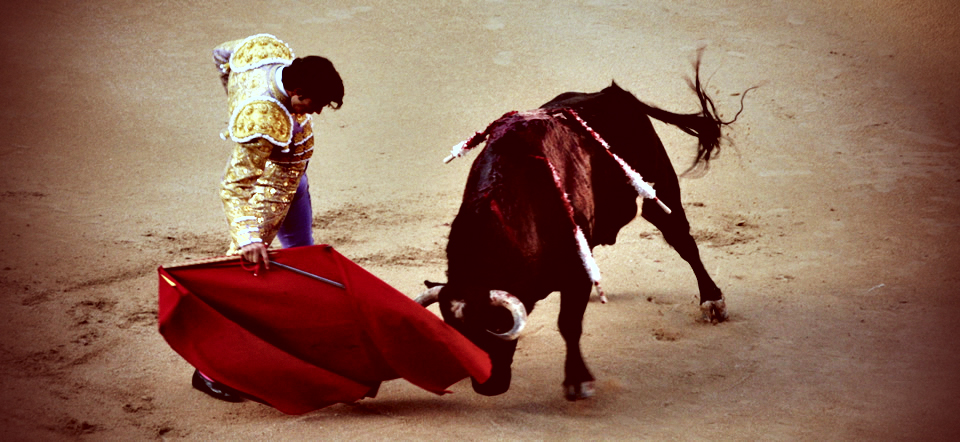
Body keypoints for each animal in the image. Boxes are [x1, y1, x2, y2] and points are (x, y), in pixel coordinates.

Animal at [420, 64, 744, 400]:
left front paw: (578, 380)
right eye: (455, 331)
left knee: (683, 240)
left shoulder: (573, 270)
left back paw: (712, 301)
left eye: (497, 324)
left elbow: (568, 323)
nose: (488, 387)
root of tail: (614, 93)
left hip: (660, 188)